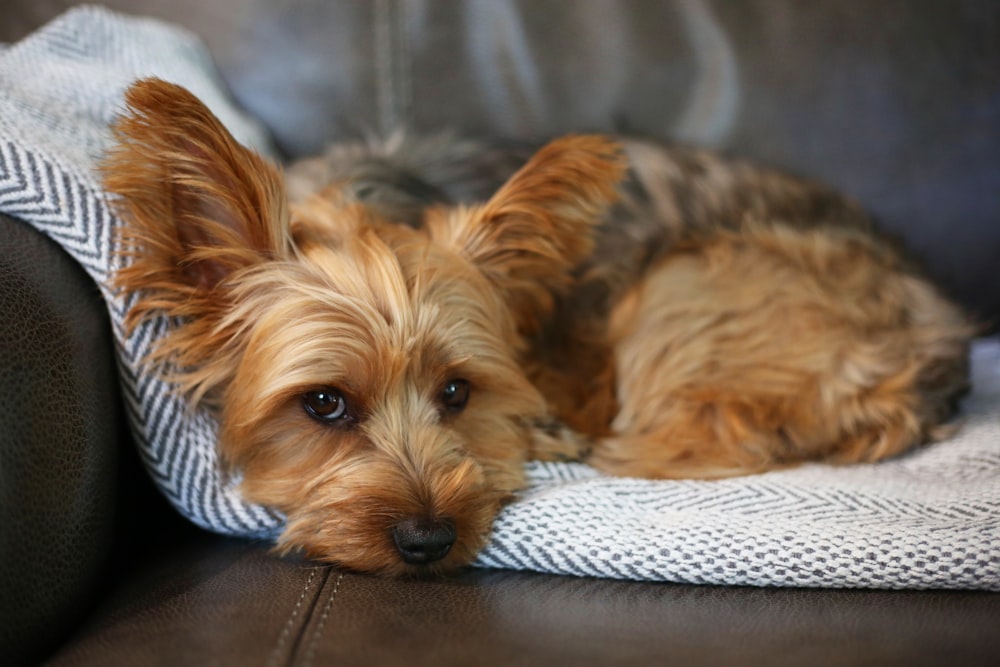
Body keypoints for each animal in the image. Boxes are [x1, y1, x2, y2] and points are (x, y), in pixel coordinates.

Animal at [103, 81, 976, 576]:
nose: (428, 540)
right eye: (323, 404)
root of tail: (937, 350)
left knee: (711, 432)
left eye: (457, 392)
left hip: (688, 284)